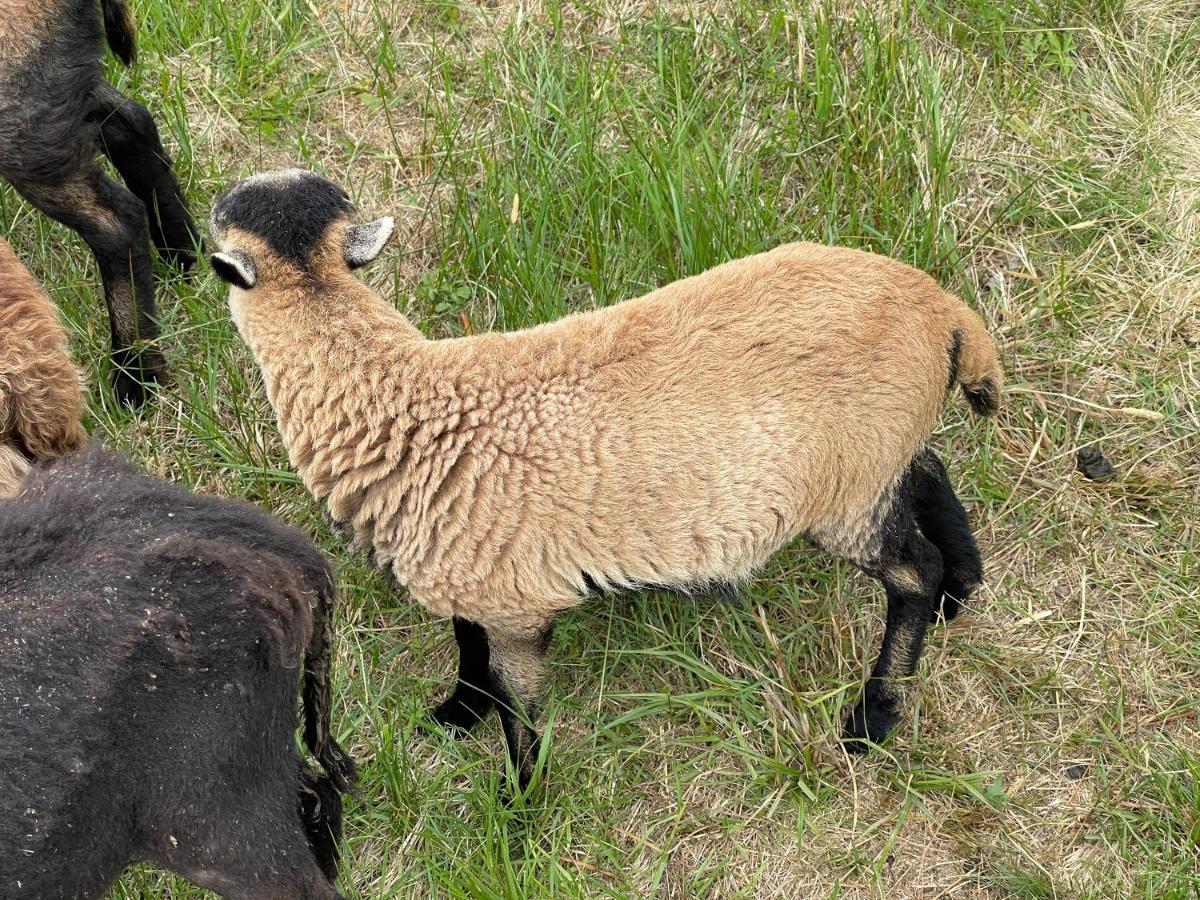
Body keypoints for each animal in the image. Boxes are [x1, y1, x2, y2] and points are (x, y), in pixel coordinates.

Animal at [0, 0, 199, 408]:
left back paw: (136, 380)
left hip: (20, 114)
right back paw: (185, 254)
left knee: (115, 224)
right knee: (134, 124)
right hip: (53, 87)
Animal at [213, 168, 1003, 787]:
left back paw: (875, 715)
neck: (404, 396)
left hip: (845, 491)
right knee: (929, 467)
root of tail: (943, 311)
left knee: (911, 572)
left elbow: (518, 706)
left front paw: (519, 809)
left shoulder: (515, 601)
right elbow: (467, 649)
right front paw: (454, 716)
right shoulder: (467, 572)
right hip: (875, 450)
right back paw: (962, 589)